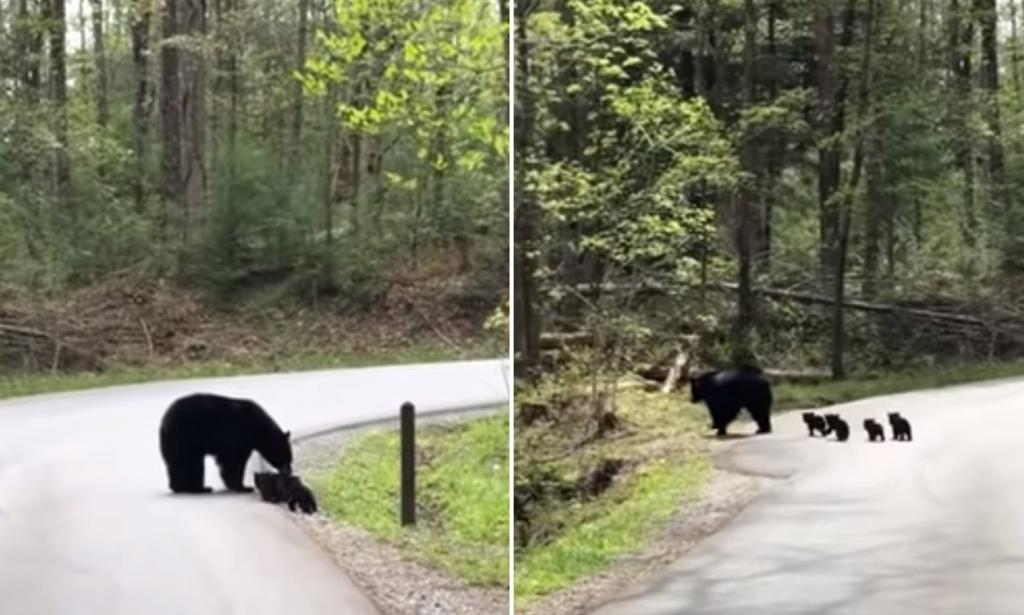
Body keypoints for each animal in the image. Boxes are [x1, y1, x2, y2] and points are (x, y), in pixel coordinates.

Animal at [157, 392, 292, 493]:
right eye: (287, 457)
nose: (289, 472)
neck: (259, 431)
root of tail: (164, 421)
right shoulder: (239, 435)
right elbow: (234, 460)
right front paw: (243, 487)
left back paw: (179, 486)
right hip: (186, 437)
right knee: (190, 462)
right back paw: (199, 488)